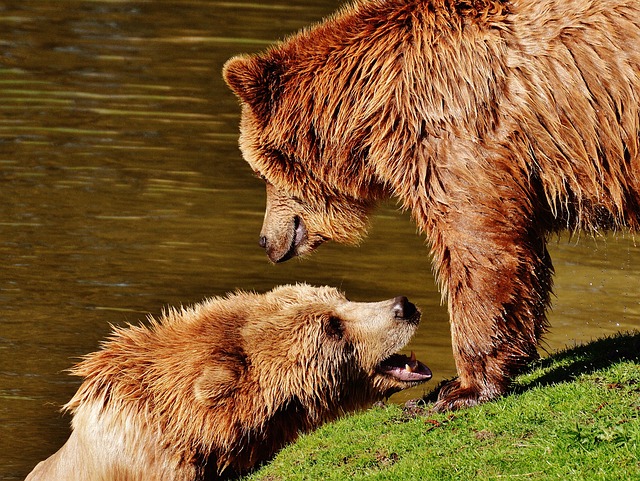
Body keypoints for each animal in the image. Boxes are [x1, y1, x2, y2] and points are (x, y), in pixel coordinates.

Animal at [221, 0, 640, 412]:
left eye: (258, 172)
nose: (264, 241)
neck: (371, 105)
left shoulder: (454, 131)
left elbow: (478, 248)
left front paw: (462, 389)